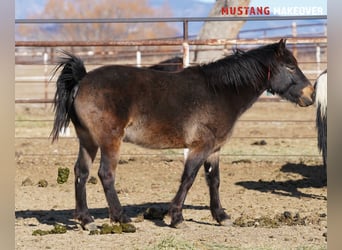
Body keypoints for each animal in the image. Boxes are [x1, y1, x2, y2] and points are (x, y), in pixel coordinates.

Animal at [51, 38, 316, 229]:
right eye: (290, 66)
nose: (310, 95)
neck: (220, 91)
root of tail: (82, 80)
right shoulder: (200, 147)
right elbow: (188, 178)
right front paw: (176, 218)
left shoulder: (214, 149)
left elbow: (214, 181)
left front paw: (221, 216)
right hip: (110, 141)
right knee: (105, 174)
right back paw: (121, 218)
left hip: (88, 141)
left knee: (81, 173)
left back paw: (86, 220)